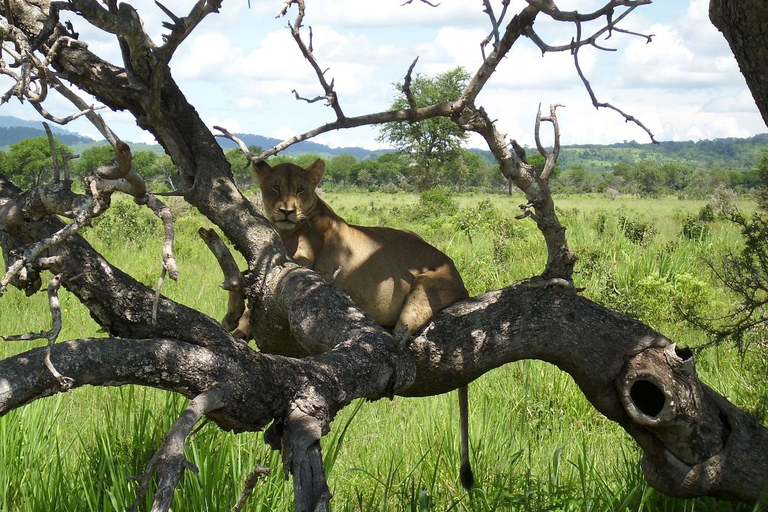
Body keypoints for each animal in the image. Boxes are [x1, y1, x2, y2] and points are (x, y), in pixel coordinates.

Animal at [252, 158, 474, 490]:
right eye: (275, 187)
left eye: (301, 189)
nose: (287, 211)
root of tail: (462, 283)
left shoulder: (304, 260)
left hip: (424, 287)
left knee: (400, 341)